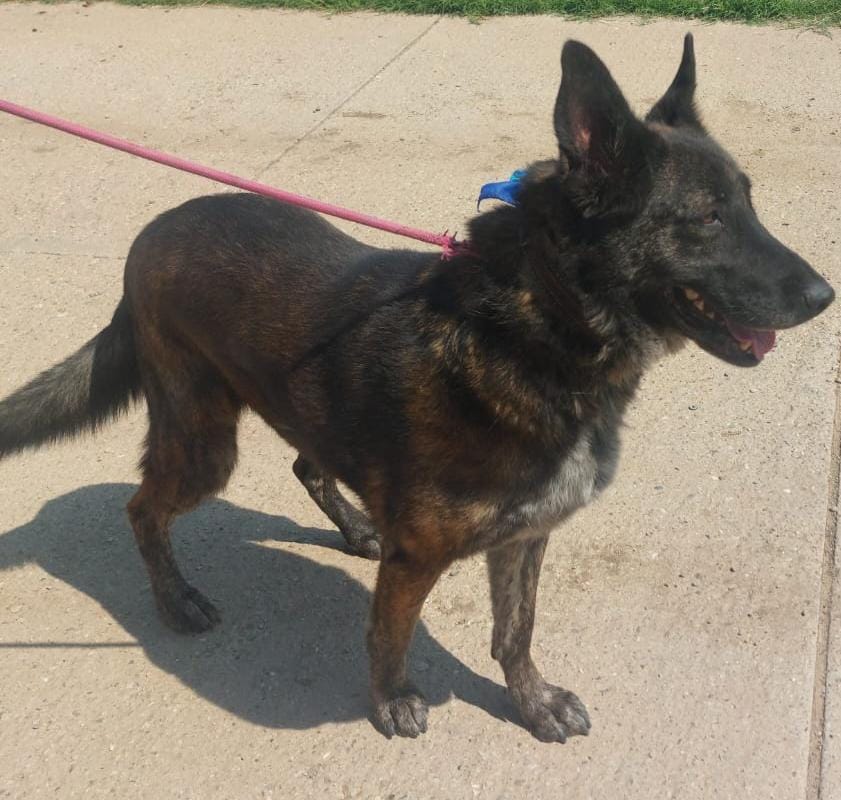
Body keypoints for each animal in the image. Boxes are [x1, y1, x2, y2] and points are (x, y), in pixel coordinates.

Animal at [0, 34, 833, 742]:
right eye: (707, 217)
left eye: (749, 202)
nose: (824, 295)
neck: (538, 327)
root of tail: (152, 233)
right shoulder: (419, 561)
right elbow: (387, 633)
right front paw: (391, 699)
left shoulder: (525, 538)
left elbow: (514, 632)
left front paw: (530, 702)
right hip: (202, 437)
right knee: (143, 508)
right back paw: (175, 599)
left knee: (306, 461)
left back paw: (353, 525)